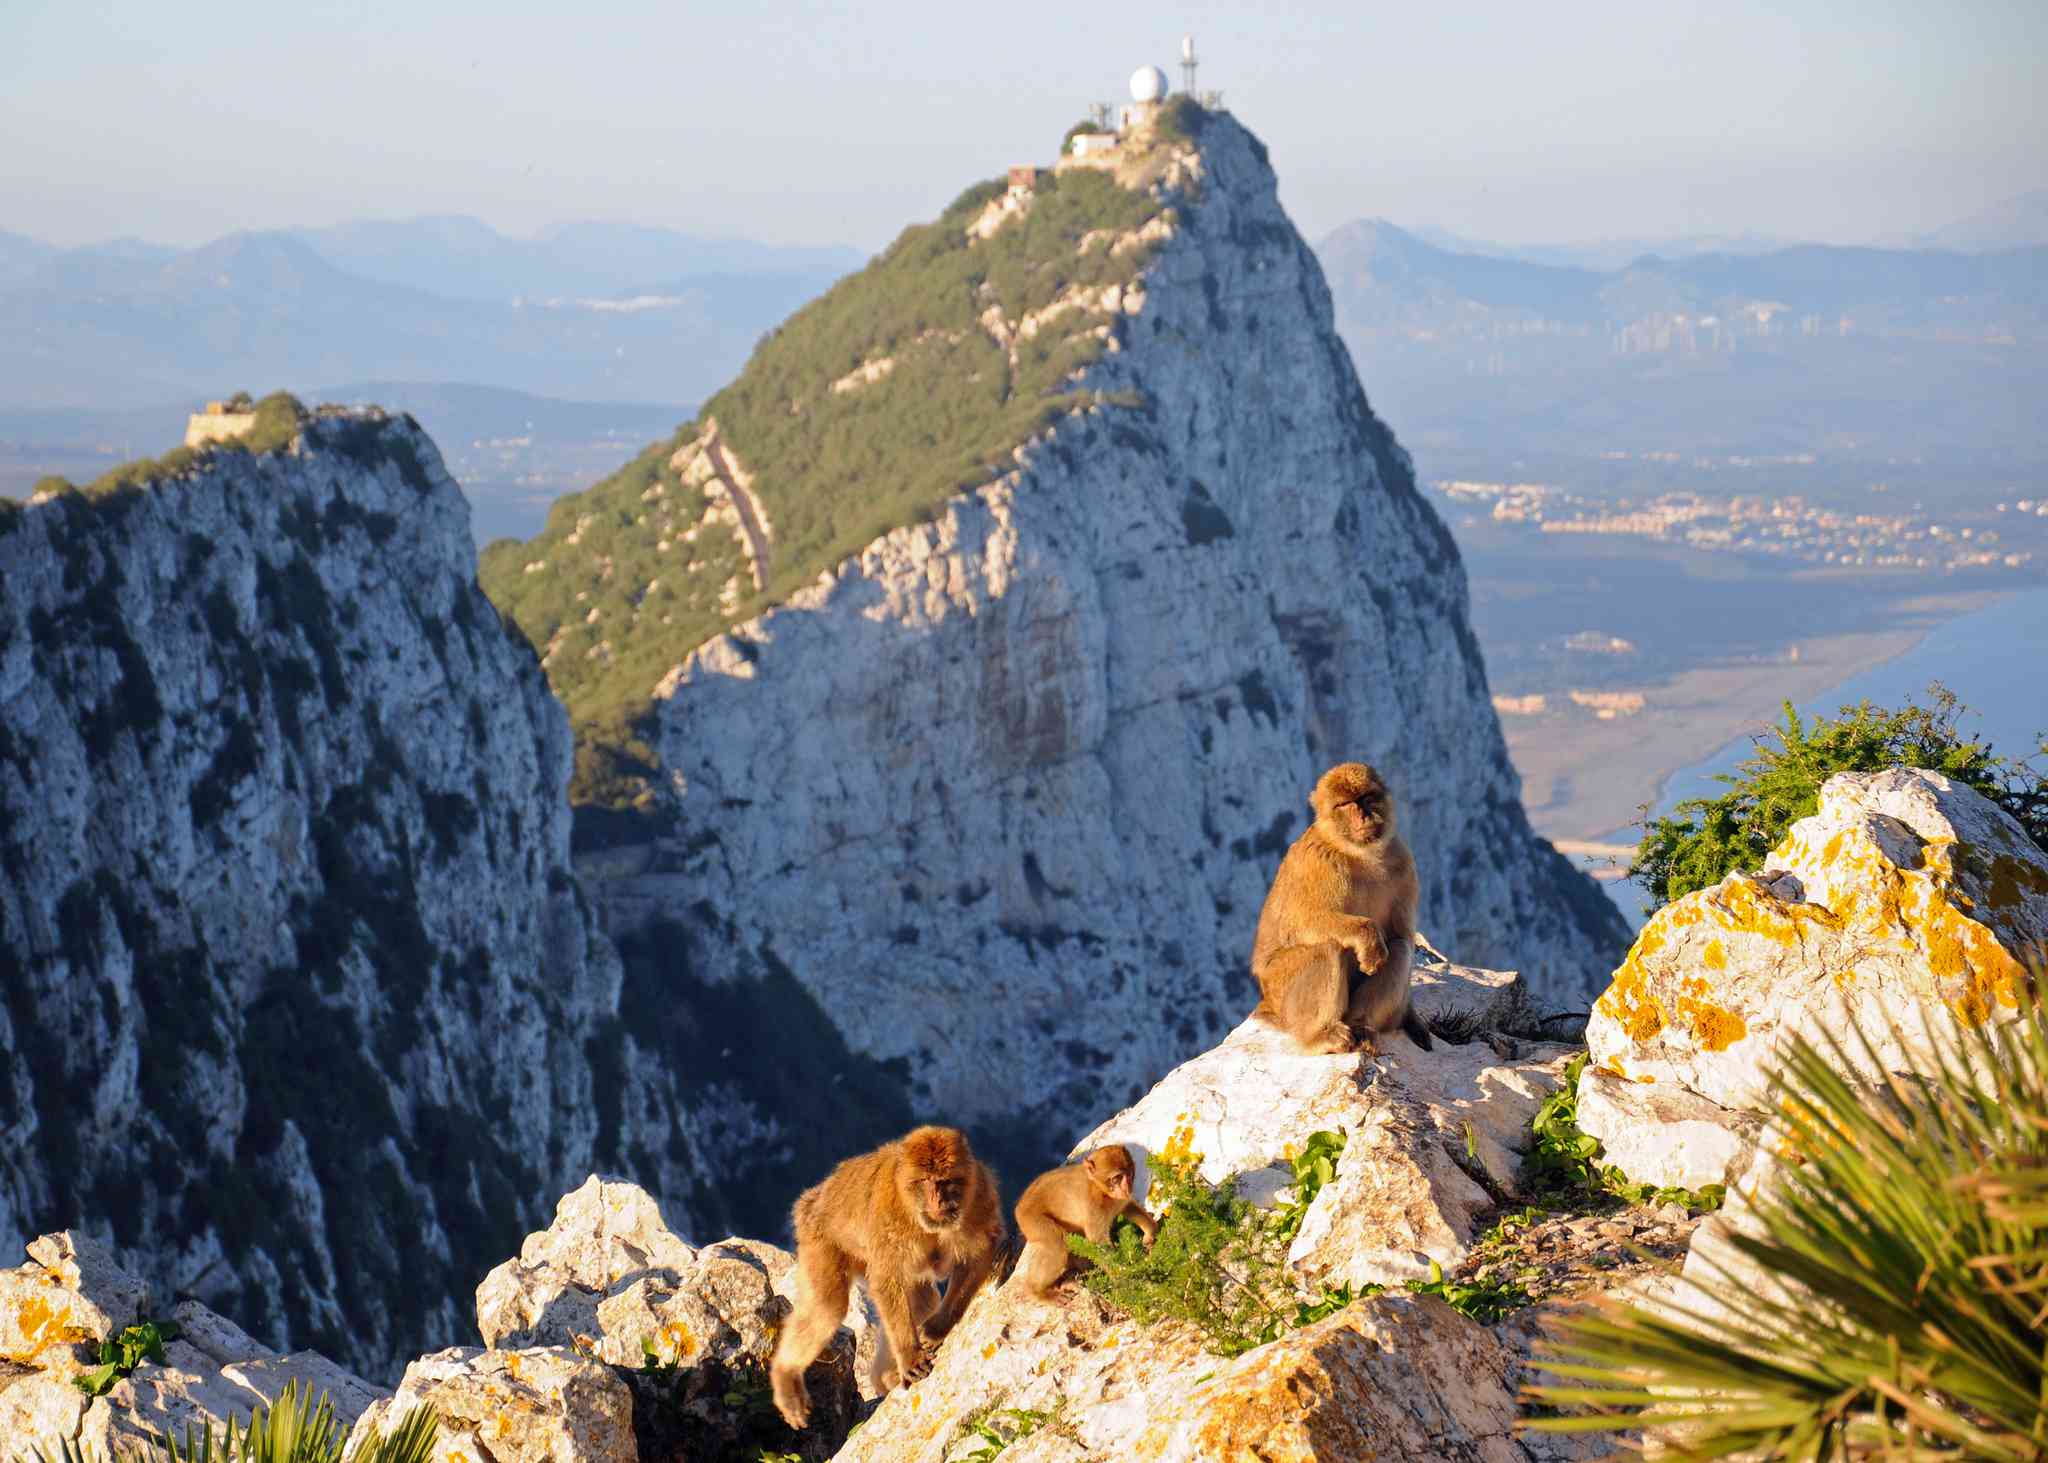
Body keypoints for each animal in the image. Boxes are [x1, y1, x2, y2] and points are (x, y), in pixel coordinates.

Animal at [1015, 1147, 1163, 1294]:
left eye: (1129, 1174)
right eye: (1116, 1178)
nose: (1127, 1187)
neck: (1100, 1189)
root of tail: (1020, 1206)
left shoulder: (1118, 1199)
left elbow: (1128, 1206)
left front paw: (1150, 1233)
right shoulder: (1093, 1205)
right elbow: (1099, 1243)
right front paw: (1124, 1278)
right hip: (1031, 1219)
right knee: (1058, 1242)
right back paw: (1037, 1291)